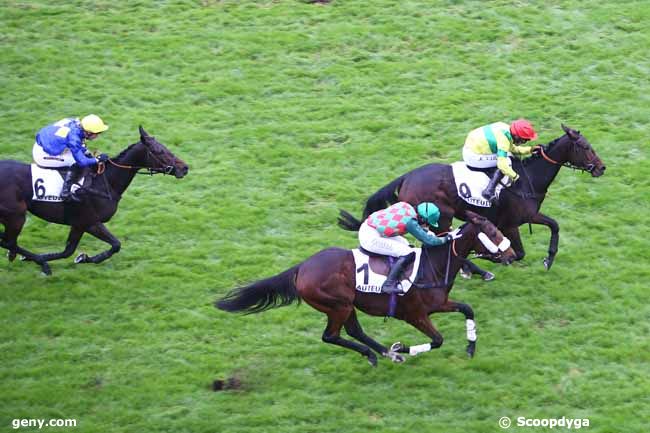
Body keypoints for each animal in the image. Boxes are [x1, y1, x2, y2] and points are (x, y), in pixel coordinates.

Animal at [1, 125, 190, 274]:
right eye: (160, 151)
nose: (184, 167)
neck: (105, 182)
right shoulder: (89, 222)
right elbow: (114, 245)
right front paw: (81, 258)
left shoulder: (79, 224)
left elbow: (69, 250)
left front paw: (81, 257)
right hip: (17, 216)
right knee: (8, 242)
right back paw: (40, 262)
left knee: (7, 241)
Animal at [215, 211, 512, 366]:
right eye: (493, 233)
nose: (511, 254)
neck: (432, 266)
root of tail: (302, 268)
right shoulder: (415, 314)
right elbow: (438, 340)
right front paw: (403, 347)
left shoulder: (438, 304)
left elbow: (468, 309)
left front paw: (471, 347)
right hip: (338, 304)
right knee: (331, 336)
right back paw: (381, 353)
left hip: (348, 305)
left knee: (354, 330)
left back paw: (384, 353)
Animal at [342, 123, 604, 270]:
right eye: (586, 147)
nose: (602, 168)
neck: (529, 179)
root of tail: (406, 177)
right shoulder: (512, 223)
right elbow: (518, 252)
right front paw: (489, 255)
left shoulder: (526, 217)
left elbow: (554, 225)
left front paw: (549, 258)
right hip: (442, 217)